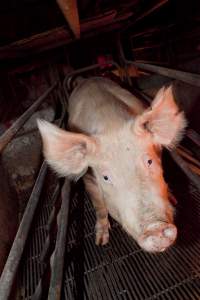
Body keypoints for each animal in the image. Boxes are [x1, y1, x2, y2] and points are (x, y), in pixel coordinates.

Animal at [37, 76, 186, 252]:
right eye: (106, 177)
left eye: (149, 161)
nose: (155, 227)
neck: (111, 126)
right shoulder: (89, 178)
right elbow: (99, 206)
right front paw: (101, 241)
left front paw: (173, 199)